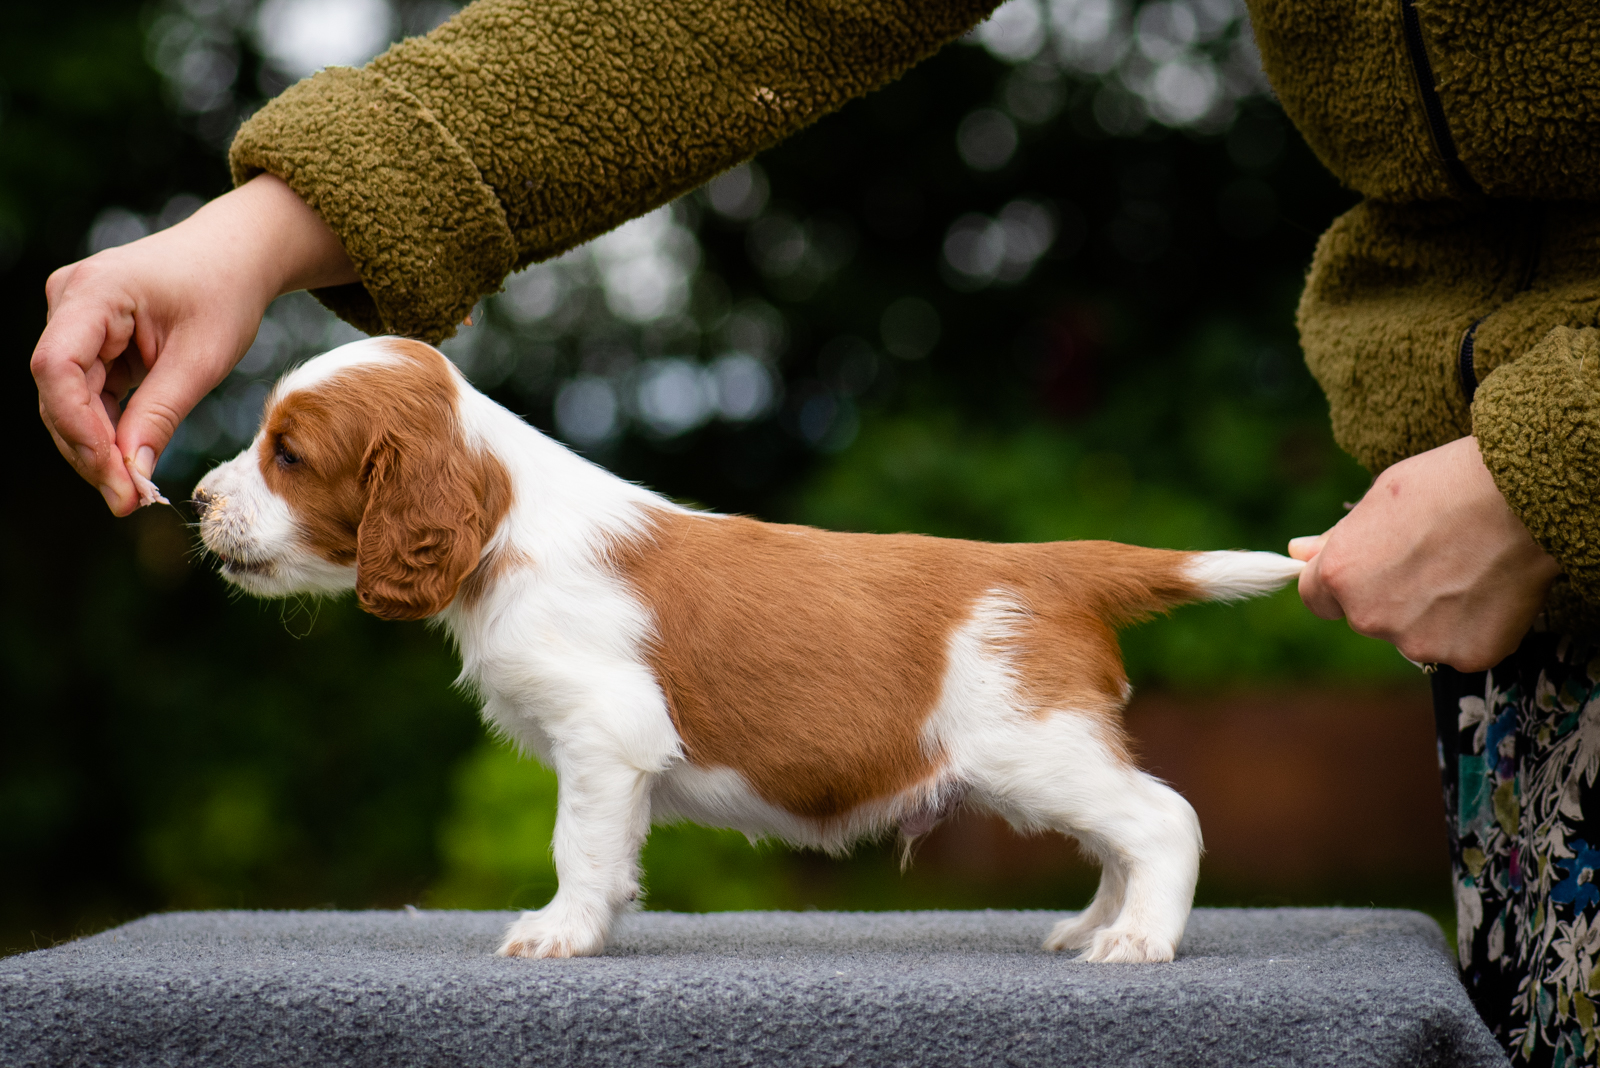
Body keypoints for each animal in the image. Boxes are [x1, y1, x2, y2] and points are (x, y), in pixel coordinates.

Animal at [193, 337, 1305, 965]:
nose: (197, 500)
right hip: (1054, 752)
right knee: (1120, 834)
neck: (508, 526)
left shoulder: (603, 733)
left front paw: (559, 932)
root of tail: (1058, 566)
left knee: (1161, 820)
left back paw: (1139, 940)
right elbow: (609, 852)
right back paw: (1092, 926)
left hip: (1032, 747)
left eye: (288, 454)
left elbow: (576, 845)